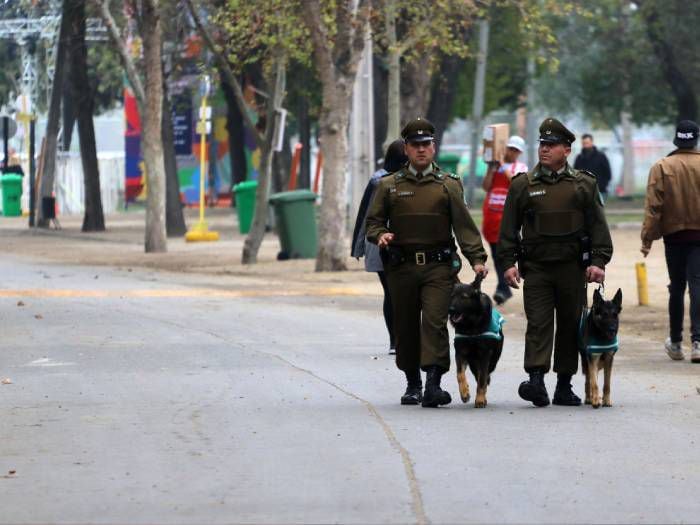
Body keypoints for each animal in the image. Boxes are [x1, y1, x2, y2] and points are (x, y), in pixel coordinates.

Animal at [448, 276, 504, 408]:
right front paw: (464, 393)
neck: (470, 326)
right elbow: (460, 375)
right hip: (473, 362)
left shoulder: (484, 355)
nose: (451, 310)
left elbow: (482, 379)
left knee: (484, 376)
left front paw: (480, 399)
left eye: (464, 297)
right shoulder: (460, 353)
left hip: (492, 361)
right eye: (452, 296)